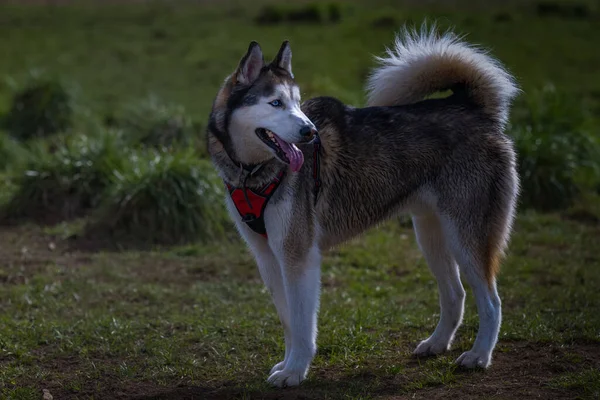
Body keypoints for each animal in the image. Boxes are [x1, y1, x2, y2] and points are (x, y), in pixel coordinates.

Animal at [206, 25, 520, 388]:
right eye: (276, 103)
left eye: (297, 103)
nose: (310, 132)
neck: (253, 172)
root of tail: (470, 106)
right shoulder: (268, 257)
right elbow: (287, 321)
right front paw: (286, 364)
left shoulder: (298, 255)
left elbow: (301, 323)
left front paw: (295, 370)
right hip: (432, 234)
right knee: (456, 294)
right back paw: (437, 343)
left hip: (467, 237)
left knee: (492, 302)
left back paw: (479, 356)